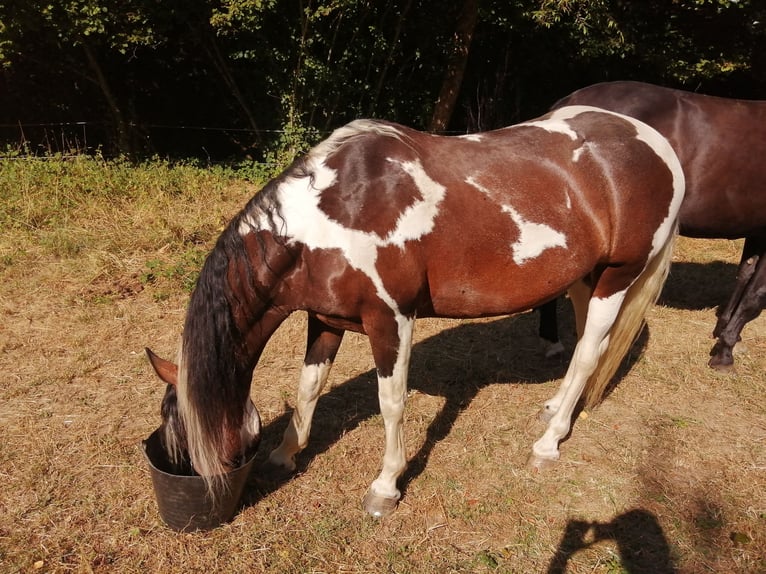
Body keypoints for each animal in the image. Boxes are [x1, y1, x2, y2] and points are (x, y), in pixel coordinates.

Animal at [146, 106, 684, 519]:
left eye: (188, 442)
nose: (196, 503)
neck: (330, 216)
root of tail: (659, 146)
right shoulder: (324, 320)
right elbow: (308, 387)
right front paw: (286, 453)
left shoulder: (390, 319)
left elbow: (391, 403)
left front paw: (385, 488)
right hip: (582, 278)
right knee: (581, 349)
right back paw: (555, 409)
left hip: (617, 277)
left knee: (591, 352)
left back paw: (548, 443)